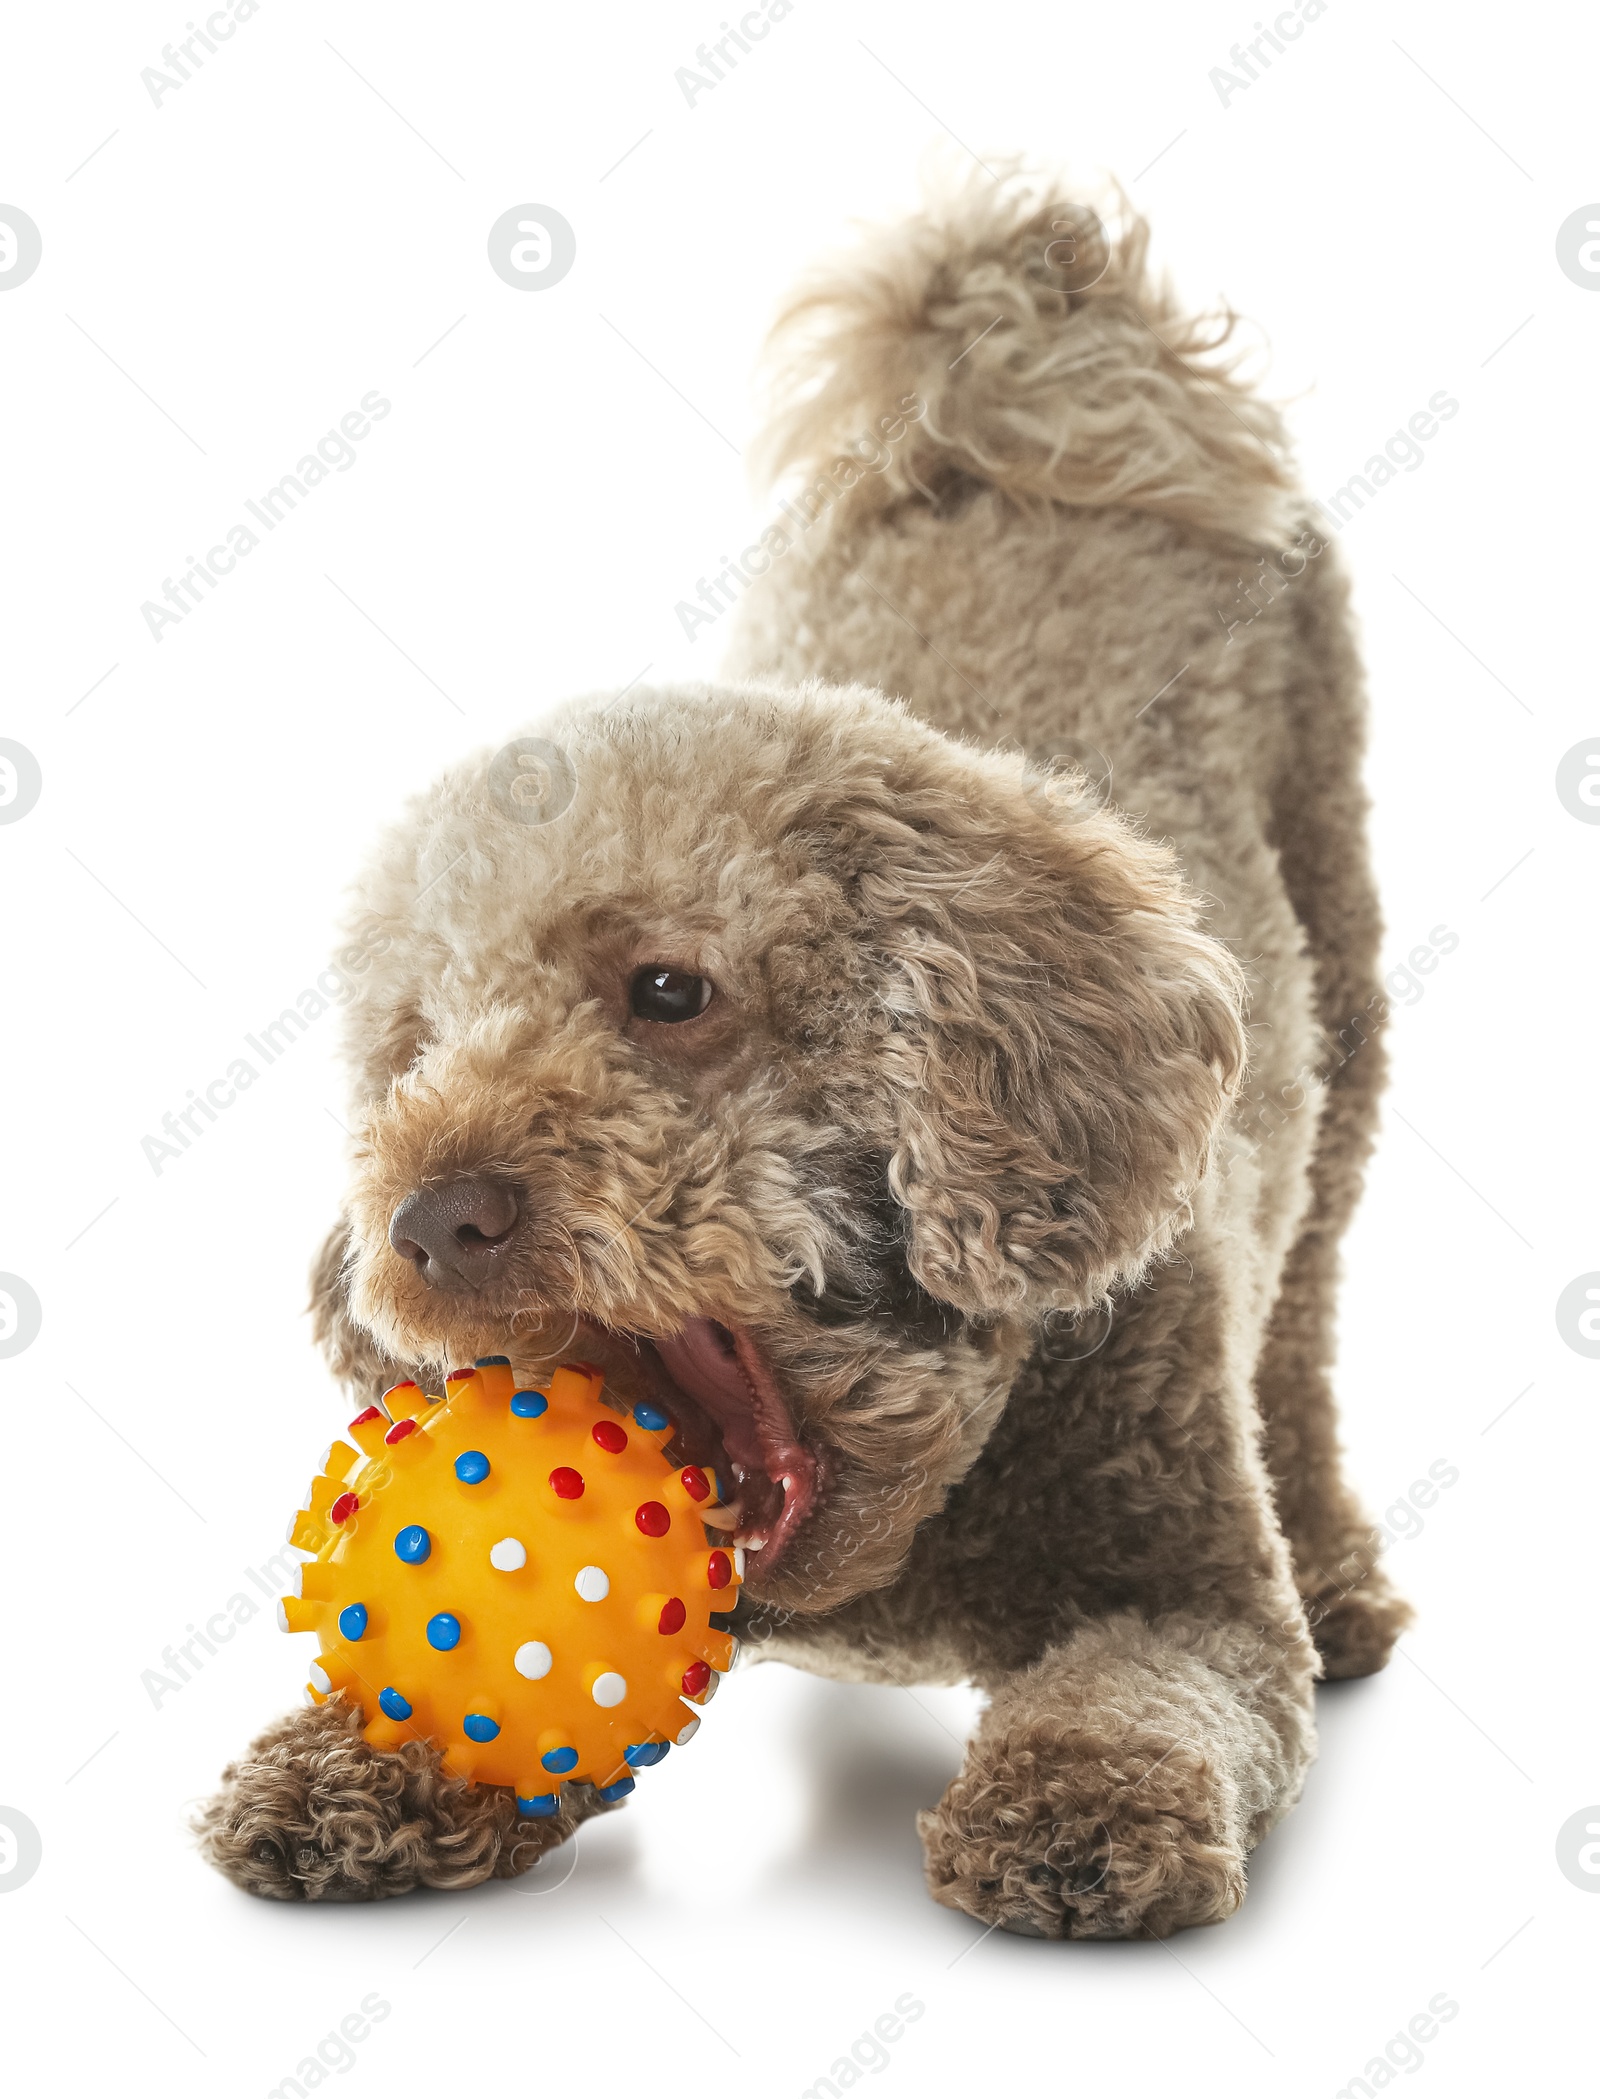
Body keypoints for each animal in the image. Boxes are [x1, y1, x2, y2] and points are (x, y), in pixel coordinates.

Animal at [202, 172, 1411, 1939]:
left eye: (667, 989)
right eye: (415, 1044)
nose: (432, 1219)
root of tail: (1036, 353)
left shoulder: (1194, 1601)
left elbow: (1145, 1697)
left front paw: (1076, 1810)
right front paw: (365, 1762)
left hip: (1344, 962)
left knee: (1311, 1306)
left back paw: (1338, 1565)